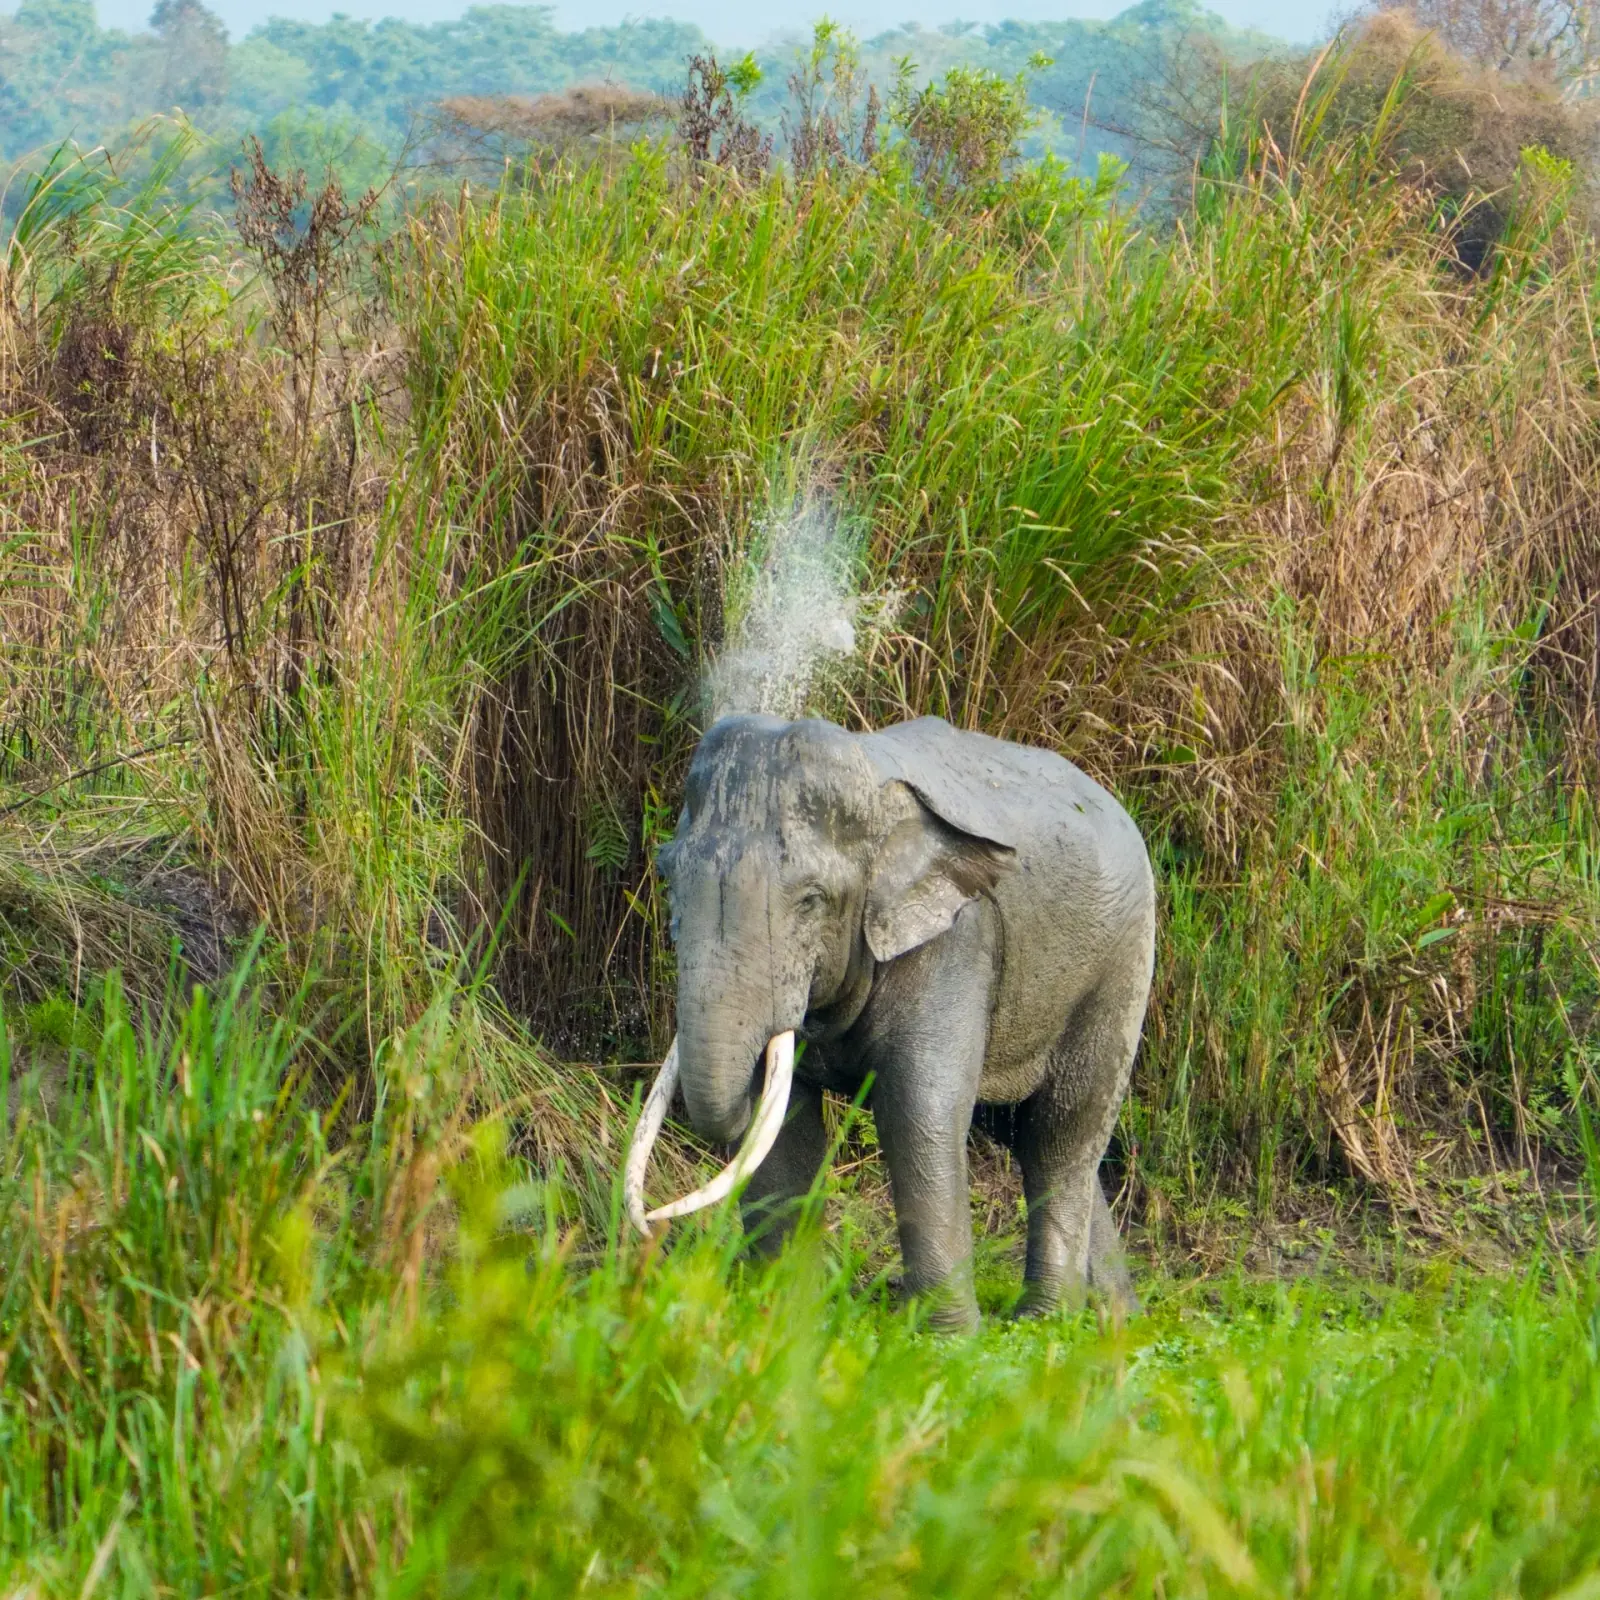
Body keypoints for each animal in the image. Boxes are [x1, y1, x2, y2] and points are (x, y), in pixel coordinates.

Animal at [623, 712, 1156, 1330]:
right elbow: (781, 1121)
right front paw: (788, 1315)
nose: (652, 1227)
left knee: (1062, 1132)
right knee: (1028, 1133)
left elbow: (917, 1107)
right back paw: (1118, 1320)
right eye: (668, 875)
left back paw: (1045, 1320)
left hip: (1121, 965)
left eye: (811, 900)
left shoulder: (956, 938)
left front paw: (945, 1336)